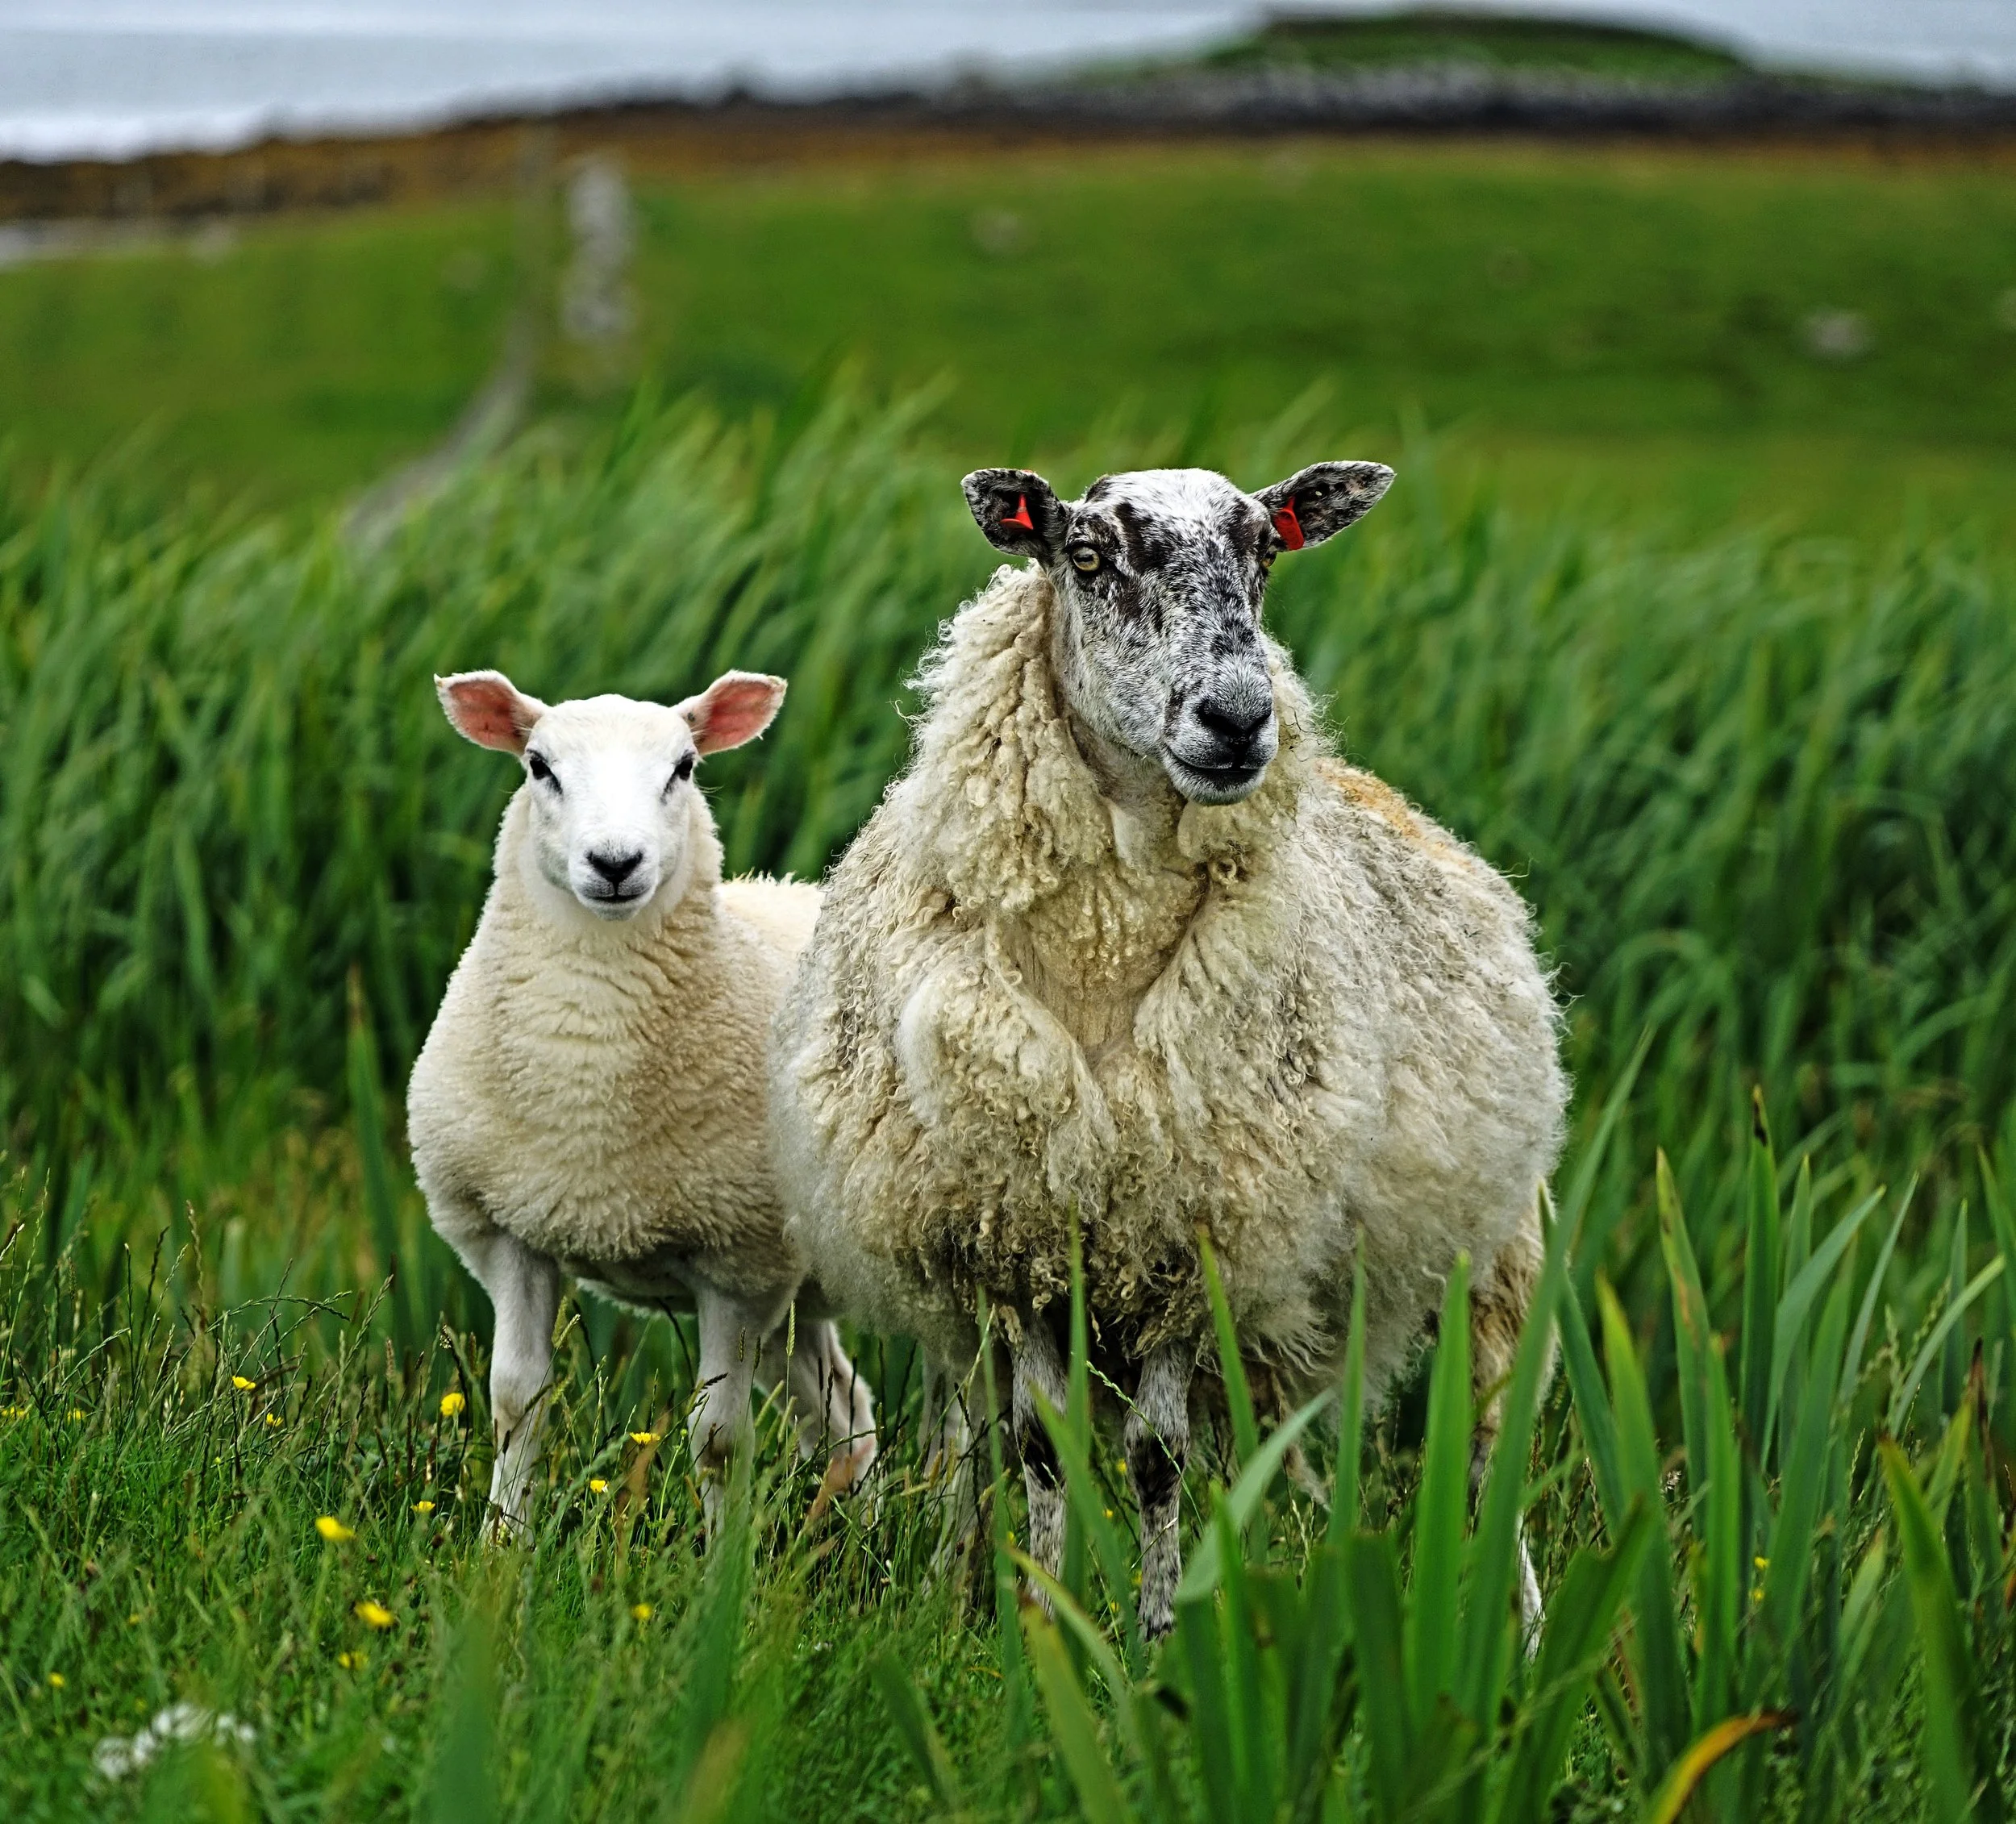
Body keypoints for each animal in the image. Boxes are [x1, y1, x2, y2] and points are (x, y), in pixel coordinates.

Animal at [407, 666, 877, 1539]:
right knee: (845, 1414)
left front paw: (723, 1568)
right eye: (539, 766)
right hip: (803, 1296)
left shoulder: (739, 1264)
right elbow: (515, 1403)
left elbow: (718, 1438)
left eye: (684, 768)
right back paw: (858, 1543)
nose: (616, 862)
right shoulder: (510, 1233)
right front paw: (500, 1548)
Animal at [769, 463, 1566, 1635]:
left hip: (1491, 1254)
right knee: (984, 1443)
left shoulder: (1189, 1233)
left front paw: (1154, 1637)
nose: (1237, 718)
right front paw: (1038, 1626)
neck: (1104, 953)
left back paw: (1520, 1632)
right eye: (1088, 555)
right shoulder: (1023, 1237)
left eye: (1266, 551)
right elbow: (1040, 1447)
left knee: (1484, 1450)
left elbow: (1155, 1459)